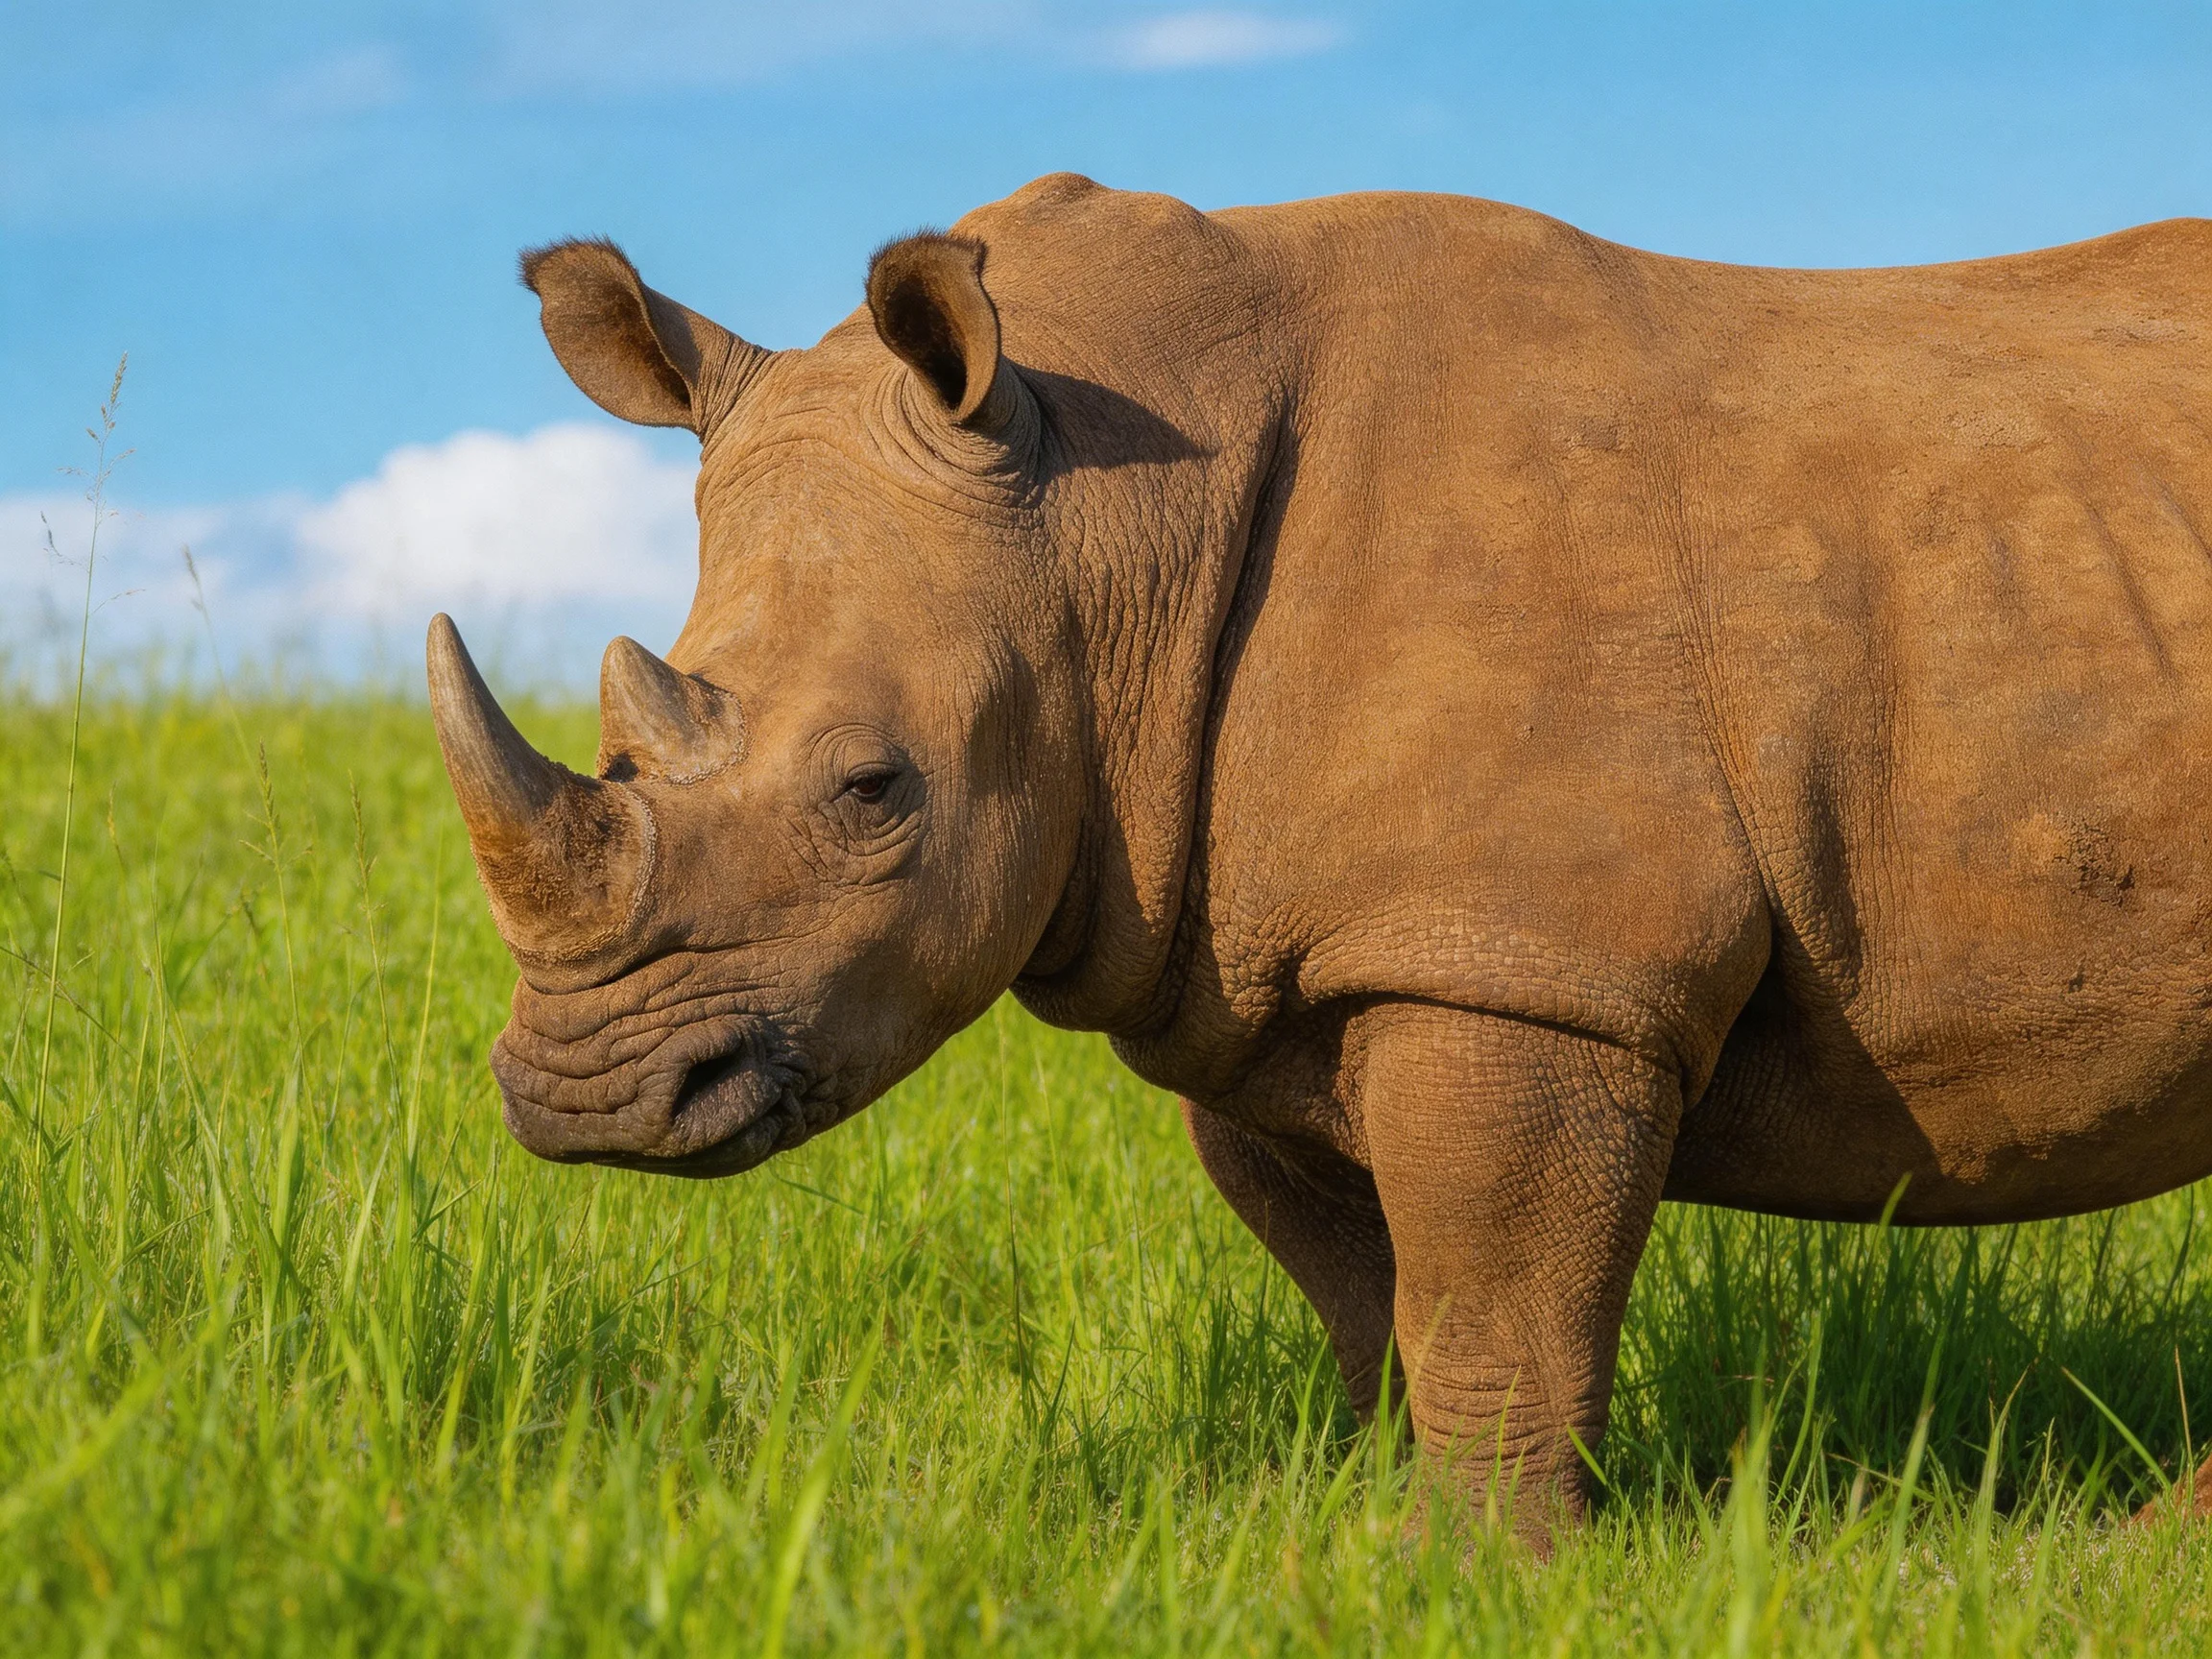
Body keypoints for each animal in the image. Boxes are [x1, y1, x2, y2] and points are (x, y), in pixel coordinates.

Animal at [427, 173, 2212, 1543]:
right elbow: (1368, 1294)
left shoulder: (1521, 962)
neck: (1100, 520)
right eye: (622, 744)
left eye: (874, 790)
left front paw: (1487, 1575)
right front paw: (1355, 1540)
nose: (589, 1101)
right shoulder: (1268, 966)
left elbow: (1488, 1295)